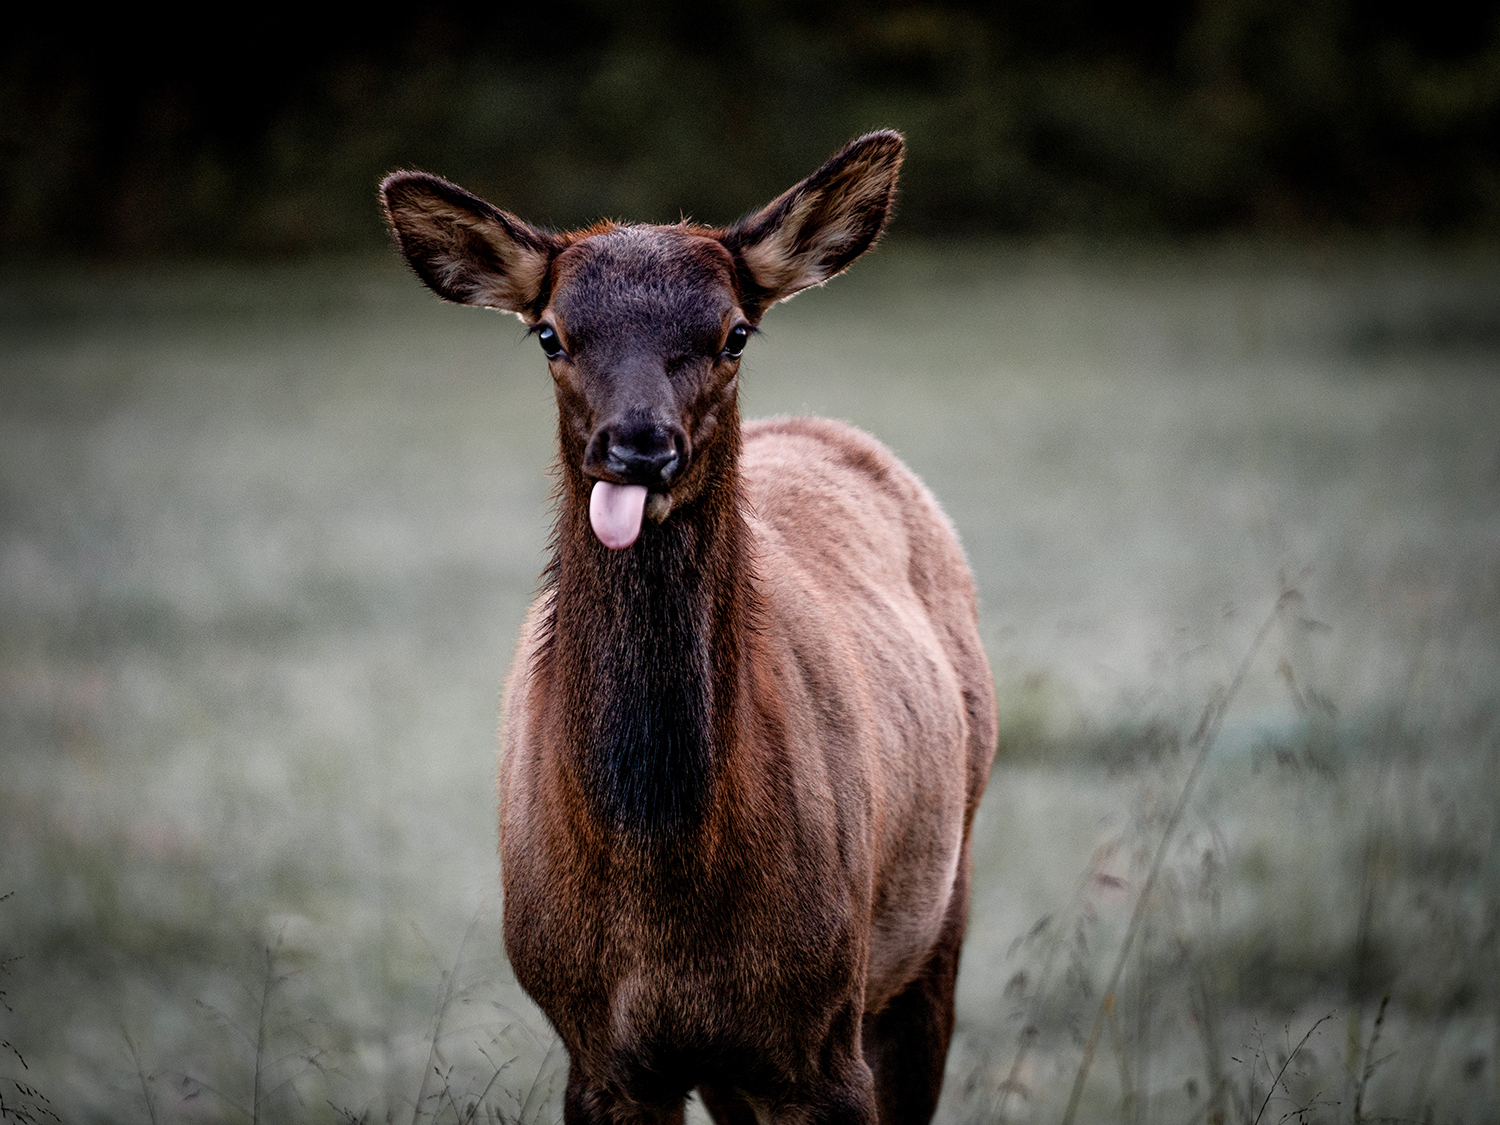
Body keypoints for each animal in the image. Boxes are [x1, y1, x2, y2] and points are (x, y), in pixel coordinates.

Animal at [380, 131, 997, 1125]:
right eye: (550, 333)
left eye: (734, 331)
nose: (638, 445)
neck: (661, 875)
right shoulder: (601, 1054)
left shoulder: (824, 1038)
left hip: (937, 914)